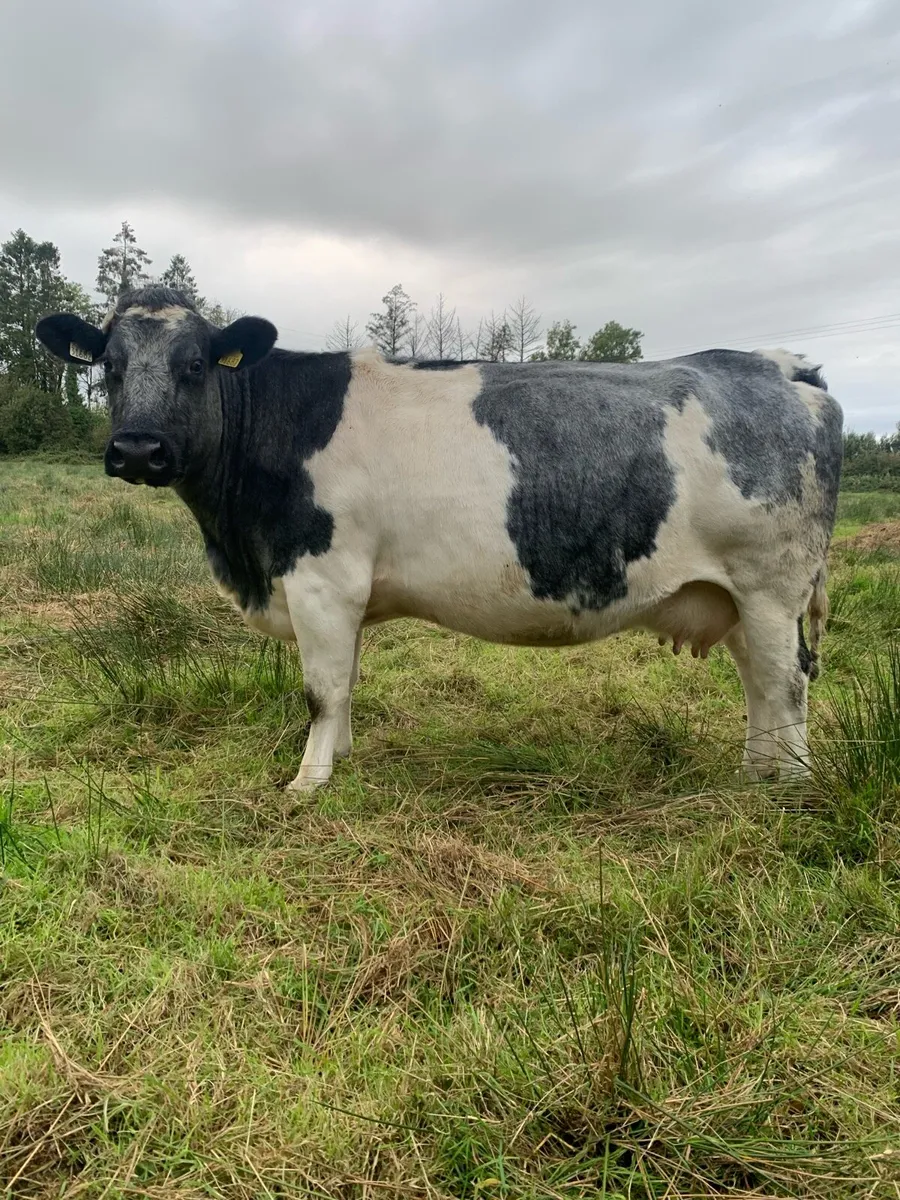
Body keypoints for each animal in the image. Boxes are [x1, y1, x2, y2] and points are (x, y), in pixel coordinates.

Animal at [35, 287, 843, 792]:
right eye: (109, 366)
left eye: (196, 363)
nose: (138, 450)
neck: (239, 545)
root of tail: (781, 365)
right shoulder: (342, 591)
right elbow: (346, 682)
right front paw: (343, 759)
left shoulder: (321, 578)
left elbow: (320, 689)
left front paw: (307, 782)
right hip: (733, 596)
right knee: (760, 683)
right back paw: (753, 774)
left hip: (771, 584)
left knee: (787, 683)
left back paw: (790, 789)